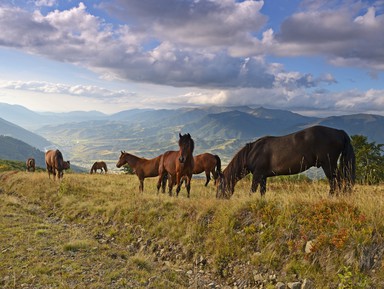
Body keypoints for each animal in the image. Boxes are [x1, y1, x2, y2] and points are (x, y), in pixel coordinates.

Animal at [218, 125, 356, 198]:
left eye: (220, 185)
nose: (218, 198)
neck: (252, 152)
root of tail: (339, 132)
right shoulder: (263, 176)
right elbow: (262, 192)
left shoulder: (257, 175)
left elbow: (252, 190)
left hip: (328, 164)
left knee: (335, 181)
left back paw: (332, 197)